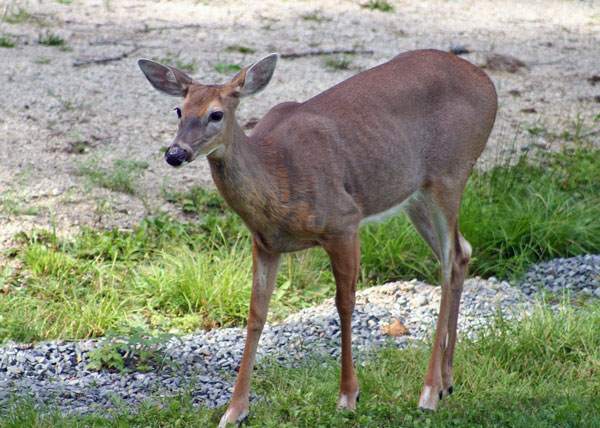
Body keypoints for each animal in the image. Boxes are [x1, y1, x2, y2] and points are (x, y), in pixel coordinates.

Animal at [139, 48, 496, 426]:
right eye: (179, 110)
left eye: (216, 114)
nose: (175, 153)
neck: (278, 174)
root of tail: (487, 82)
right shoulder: (264, 243)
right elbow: (256, 315)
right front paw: (234, 410)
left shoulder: (344, 221)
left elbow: (345, 303)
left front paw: (348, 396)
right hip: (415, 194)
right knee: (460, 252)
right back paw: (447, 382)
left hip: (451, 173)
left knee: (447, 263)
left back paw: (428, 392)